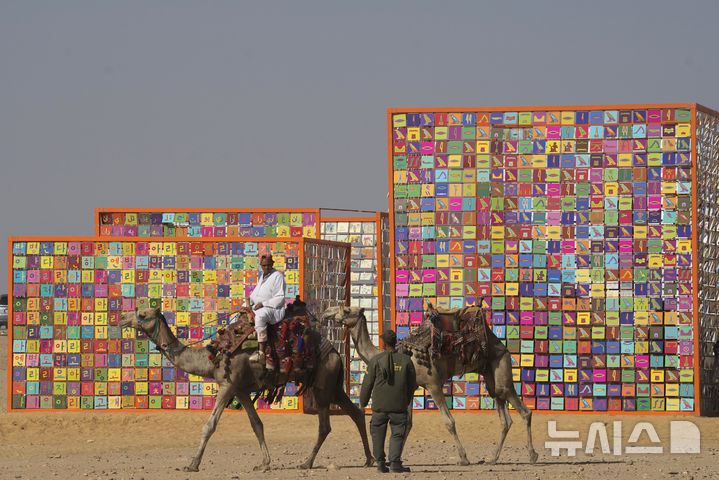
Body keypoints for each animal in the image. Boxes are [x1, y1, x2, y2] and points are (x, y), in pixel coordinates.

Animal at [119, 308, 374, 472]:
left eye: (143, 314)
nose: (121, 317)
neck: (212, 358)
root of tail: (336, 352)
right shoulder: (241, 390)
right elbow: (256, 424)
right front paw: (264, 463)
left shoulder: (227, 385)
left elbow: (209, 426)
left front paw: (192, 464)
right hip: (334, 385)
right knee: (356, 413)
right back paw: (369, 459)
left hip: (322, 385)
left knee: (325, 426)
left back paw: (307, 463)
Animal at [324, 306, 536, 466]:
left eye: (345, 309)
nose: (326, 312)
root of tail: (504, 347)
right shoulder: (410, 388)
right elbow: (407, 423)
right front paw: (396, 458)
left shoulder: (433, 384)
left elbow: (449, 422)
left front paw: (464, 458)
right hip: (490, 376)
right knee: (504, 417)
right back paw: (492, 458)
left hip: (501, 368)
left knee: (524, 410)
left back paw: (533, 455)